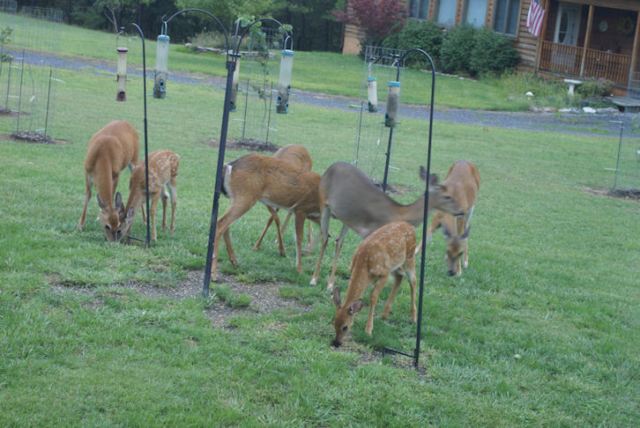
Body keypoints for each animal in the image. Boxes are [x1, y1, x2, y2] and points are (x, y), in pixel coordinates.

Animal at [210, 153, 322, 281]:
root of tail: (229, 166)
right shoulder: (301, 210)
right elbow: (299, 237)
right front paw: (300, 268)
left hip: (238, 198)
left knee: (225, 223)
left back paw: (234, 261)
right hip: (246, 197)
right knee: (221, 222)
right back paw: (213, 274)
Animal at [310, 162, 464, 291]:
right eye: (448, 196)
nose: (461, 210)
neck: (399, 214)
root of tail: (330, 167)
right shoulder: (371, 232)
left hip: (346, 218)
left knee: (338, 241)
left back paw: (330, 284)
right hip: (324, 203)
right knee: (325, 237)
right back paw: (314, 279)